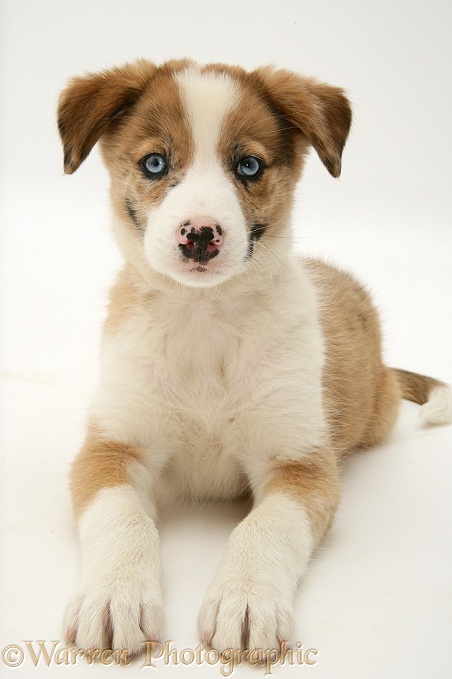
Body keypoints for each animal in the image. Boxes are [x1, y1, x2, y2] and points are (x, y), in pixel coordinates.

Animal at [57, 61, 452, 656]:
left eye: (248, 166)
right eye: (154, 163)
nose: (200, 235)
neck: (204, 319)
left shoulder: (300, 464)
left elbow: (267, 527)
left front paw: (245, 601)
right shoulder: (112, 448)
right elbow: (120, 516)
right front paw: (114, 595)